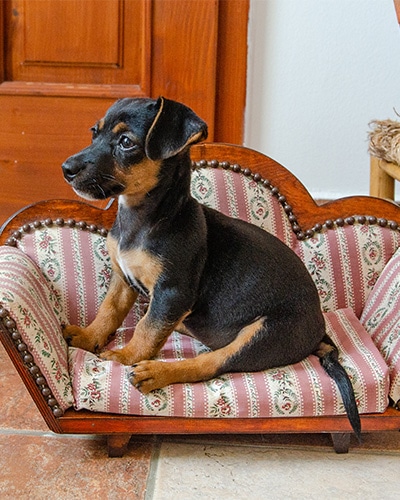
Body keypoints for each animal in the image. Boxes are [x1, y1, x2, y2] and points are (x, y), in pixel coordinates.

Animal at [62, 95, 362, 440]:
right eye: (94, 133)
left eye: (126, 142)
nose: (66, 169)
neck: (143, 220)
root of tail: (319, 331)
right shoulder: (122, 280)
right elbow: (109, 312)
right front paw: (88, 338)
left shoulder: (173, 291)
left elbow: (146, 328)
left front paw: (125, 356)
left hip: (262, 333)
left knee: (211, 363)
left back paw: (155, 372)